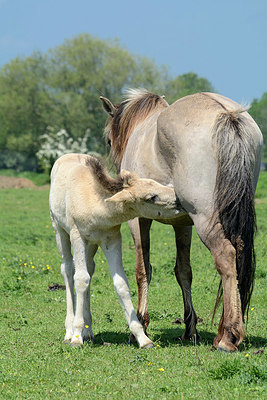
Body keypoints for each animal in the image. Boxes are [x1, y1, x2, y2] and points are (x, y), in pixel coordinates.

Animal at [49, 153, 180, 346]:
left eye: (156, 183)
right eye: (151, 197)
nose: (180, 199)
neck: (95, 204)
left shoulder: (112, 239)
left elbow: (121, 284)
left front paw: (142, 337)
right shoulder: (77, 235)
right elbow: (80, 279)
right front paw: (76, 337)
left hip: (92, 244)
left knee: (89, 269)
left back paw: (88, 331)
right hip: (60, 230)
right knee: (67, 269)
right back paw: (70, 331)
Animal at [100, 89, 264, 352]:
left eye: (108, 139)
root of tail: (227, 114)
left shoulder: (138, 221)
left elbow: (143, 269)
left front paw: (140, 326)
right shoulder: (183, 224)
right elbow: (183, 271)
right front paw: (190, 329)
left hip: (206, 219)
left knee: (226, 256)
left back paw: (228, 337)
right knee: (238, 256)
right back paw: (223, 330)